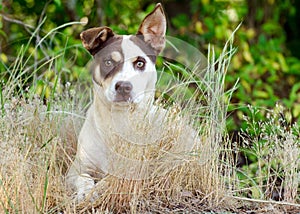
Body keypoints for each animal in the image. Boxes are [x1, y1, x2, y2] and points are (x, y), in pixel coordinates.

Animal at [66, 2, 197, 202]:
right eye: (108, 62)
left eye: (140, 63)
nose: (124, 87)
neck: (118, 121)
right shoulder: (77, 168)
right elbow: (84, 178)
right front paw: (85, 193)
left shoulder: (137, 170)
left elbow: (108, 181)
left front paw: (96, 191)